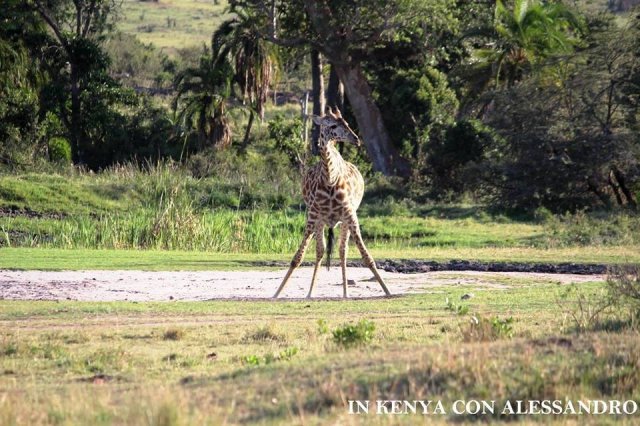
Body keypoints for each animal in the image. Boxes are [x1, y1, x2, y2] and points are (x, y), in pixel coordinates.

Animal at [272, 107, 390, 296]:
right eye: (333, 125)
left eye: (347, 122)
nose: (356, 139)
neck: (330, 179)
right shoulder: (312, 216)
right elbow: (298, 258)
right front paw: (276, 294)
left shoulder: (351, 215)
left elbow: (367, 257)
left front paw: (387, 291)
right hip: (321, 221)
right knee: (320, 251)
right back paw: (310, 294)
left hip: (343, 221)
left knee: (342, 251)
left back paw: (345, 294)